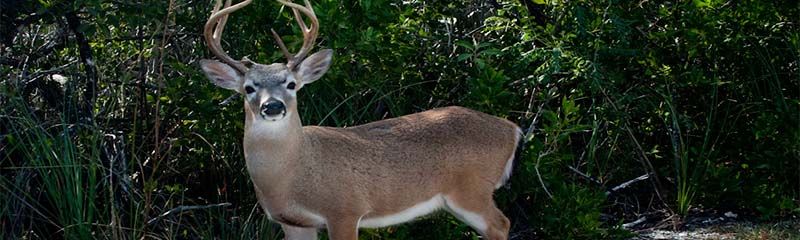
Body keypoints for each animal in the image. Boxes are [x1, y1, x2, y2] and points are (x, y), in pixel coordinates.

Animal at [200, 0, 524, 239]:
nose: (273, 106)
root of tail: (512, 128)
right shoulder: (292, 222)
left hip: (472, 190)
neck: (293, 174)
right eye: (249, 88)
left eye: (291, 84)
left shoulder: (345, 210)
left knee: (501, 224)